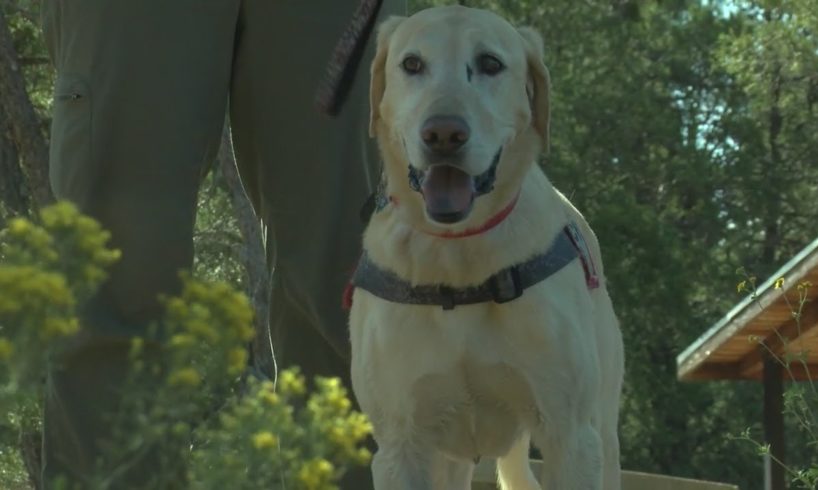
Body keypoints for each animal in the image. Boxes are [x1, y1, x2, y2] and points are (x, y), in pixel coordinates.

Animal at [346, 4, 624, 490]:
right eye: (412, 64)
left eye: (491, 63)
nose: (443, 134)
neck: (458, 262)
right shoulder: (401, 445)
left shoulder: (570, 435)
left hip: (602, 433)